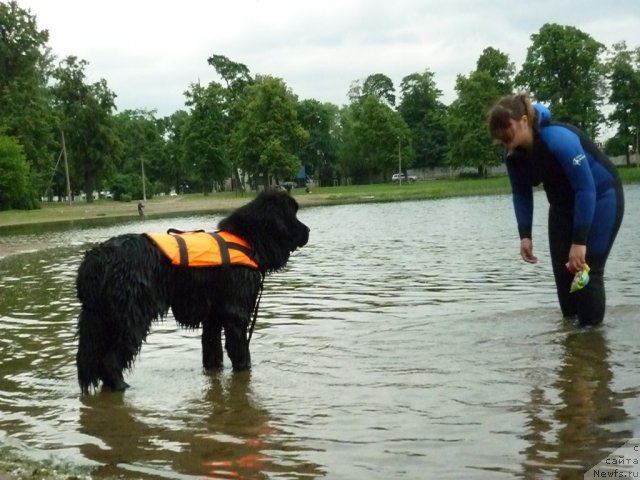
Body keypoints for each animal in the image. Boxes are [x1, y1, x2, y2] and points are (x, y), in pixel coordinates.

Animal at [75, 189, 310, 396]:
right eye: (293, 214)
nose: (308, 231)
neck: (247, 240)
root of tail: (95, 258)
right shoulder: (236, 313)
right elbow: (241, 353)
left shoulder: (213, 316)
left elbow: (212, 352)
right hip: (131, 316)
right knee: (110, 360)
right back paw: (122, 386)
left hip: (97, 319)